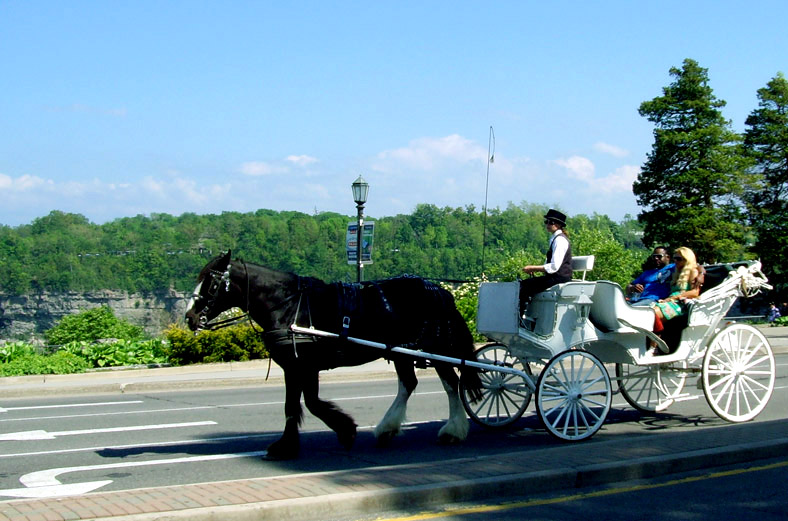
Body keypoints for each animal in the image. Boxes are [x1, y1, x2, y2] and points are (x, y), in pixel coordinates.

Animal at [185, 252, 484, 460]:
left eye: (210, 282)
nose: (189, 317)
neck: (288, 306)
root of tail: (439, 291)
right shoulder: (295, 367)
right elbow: (296, 405)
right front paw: (294, 443)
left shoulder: (302, 365)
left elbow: (307, 404)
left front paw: (342, 431)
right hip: (401, 351)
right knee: (409, 384)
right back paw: (387, 429)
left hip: (436, 349)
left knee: (450, 383)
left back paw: (453, 431)